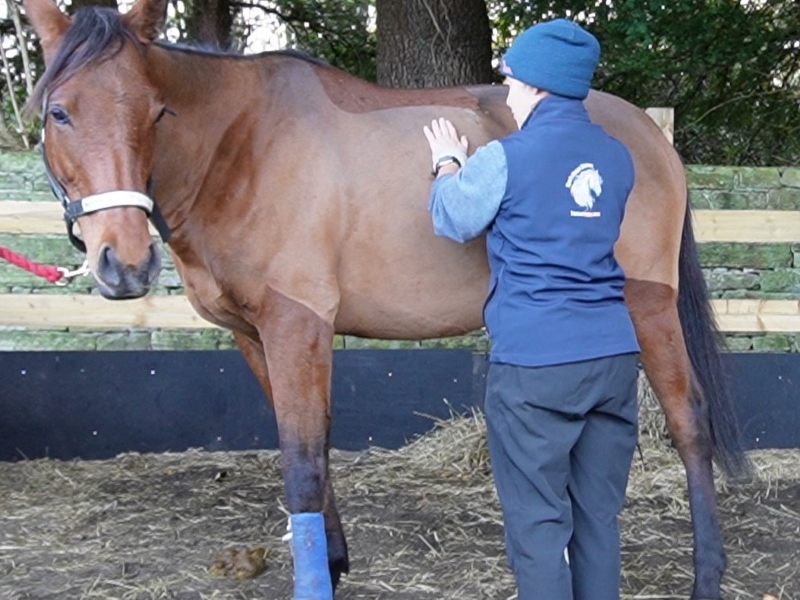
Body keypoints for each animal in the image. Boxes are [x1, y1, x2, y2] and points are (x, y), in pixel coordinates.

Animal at [21, 0, 749, 597]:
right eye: (60, 112)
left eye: (156, 112)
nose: (125, 263)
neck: (243, 146)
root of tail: (648, 134)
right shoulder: (255, 336)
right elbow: (311, 447)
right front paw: (333, 561)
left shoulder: (297, 326)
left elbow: (302, 463)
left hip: (648, 304)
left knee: (689, 421)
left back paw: (707, 572)